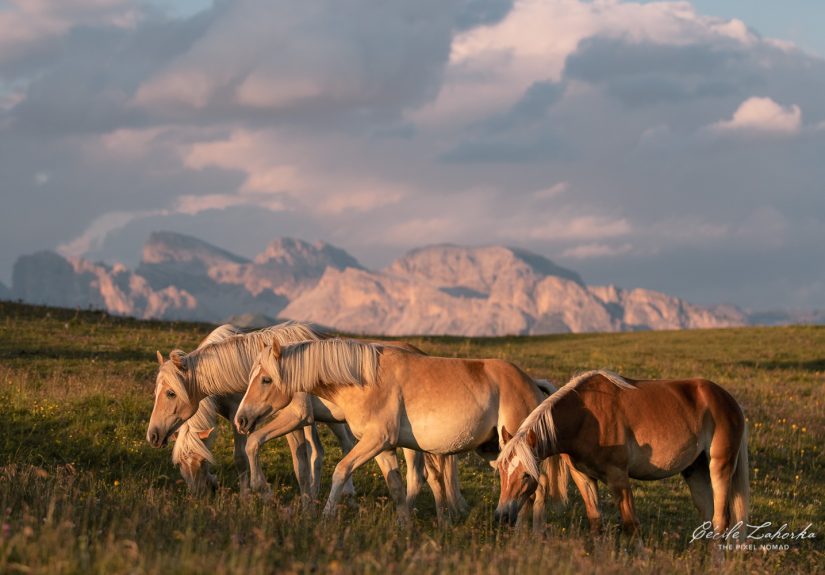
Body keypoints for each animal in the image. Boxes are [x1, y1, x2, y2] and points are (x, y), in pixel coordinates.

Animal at [234, 337, 570, 530]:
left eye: (266, 379)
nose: (241, 418)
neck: (364, 378)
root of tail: (532, 384)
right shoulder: (382, 446)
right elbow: (396, 485)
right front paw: (405, 526)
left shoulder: (374, 441)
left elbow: (341, 471)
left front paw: (326, 518)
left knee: (536, 486)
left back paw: (530, 535)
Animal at [494, 370, 749, 538]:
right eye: (502, 474)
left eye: (527, 475)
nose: (502, 516)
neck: (586, 418)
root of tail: (729, 400)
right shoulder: (584, 478)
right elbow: (596, 523)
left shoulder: (618, 477)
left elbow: (631, 524)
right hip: (695, 470)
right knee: (708, 516)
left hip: (720, 467)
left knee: (721, 520)